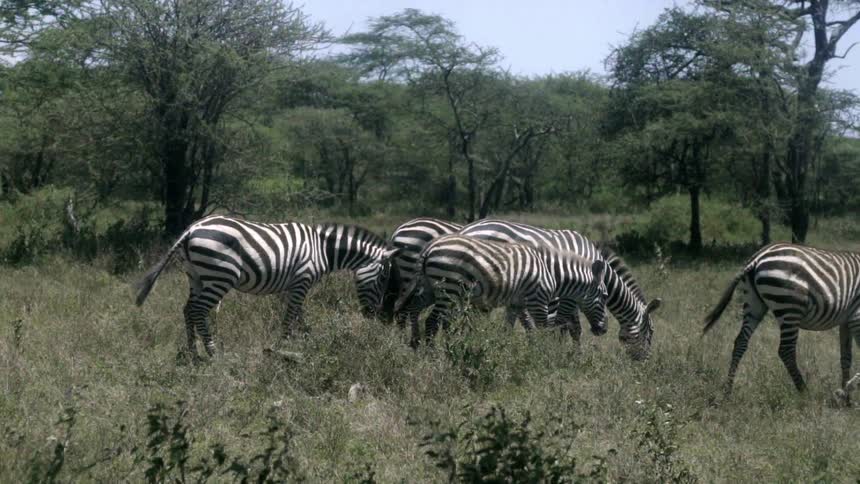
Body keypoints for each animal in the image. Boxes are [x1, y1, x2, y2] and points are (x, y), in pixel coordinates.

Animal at [135, 215, 398, 356]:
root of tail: (191, 229)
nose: (374, 316)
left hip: (196, 276)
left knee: (188, 309)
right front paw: (285, 346)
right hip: (220, 275)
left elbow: (298, 315)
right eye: (383, 280)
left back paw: (193, 352)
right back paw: (213, 353)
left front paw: (304, 340)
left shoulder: (292, 285)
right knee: (199, 310)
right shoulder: (302, 280)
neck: (321, 249)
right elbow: (290, 316)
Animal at [394, 234, 609, 347]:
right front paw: (543, 353)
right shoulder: (537, 300)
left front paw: (506, 350)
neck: (551, 271)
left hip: (430, 288)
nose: (604, 330)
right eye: (604, 296)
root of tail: (430, 246)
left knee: (414, 307)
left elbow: (513, 329)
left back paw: (415, 343)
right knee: (432, 320)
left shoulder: (516, 303)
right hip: (449, 289)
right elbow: (541, 328)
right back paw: (430, 352)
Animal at [459, 219, 660, 360]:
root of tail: (466, 229)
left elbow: (572, 328)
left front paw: (573, 355)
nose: (645, 363)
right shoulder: (571, 296)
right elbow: (565, 326)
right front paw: (564, 355)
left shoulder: (576, 296)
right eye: (651, 332)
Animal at [703, 242, 860, 403]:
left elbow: (846, 357)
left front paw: (846, 399)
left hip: (754, 305)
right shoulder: (856, 317)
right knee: (786, 350)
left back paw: (728, 392)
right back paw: (805, 394)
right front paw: (845, 391)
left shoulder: (846, 321)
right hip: (790, 308)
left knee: (740, 341)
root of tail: (758, 257)